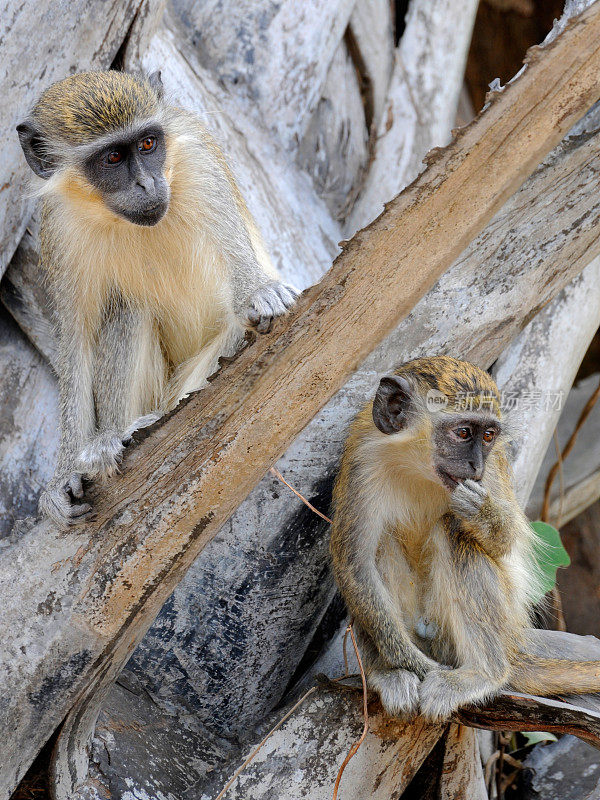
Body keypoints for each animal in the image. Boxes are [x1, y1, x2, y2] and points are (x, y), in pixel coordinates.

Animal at [17, 72, 298, 528]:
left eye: (148, 144)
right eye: (113, 157)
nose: (146, 184)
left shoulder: (197, 158)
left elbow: (238, 262)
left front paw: (261, 292)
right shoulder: (58, 228)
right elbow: (74, 345)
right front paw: (62, 477)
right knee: (126, 311)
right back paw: (116, 438)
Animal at [330, 356, 600, 720]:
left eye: (487, 435)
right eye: (462, 433)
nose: (475, 465)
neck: (418, 467)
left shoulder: (494, 466)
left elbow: (507, 541)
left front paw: (482, 512)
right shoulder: (361, 457)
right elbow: (354, 564)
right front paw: (413, 666)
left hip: (463, 630)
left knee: (453, 530)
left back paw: (485, 674)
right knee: (382, 544)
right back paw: (388, 672)